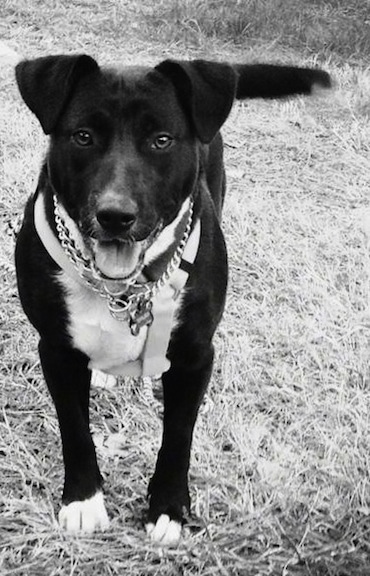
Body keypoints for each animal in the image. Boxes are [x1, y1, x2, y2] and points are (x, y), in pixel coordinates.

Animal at [15, 56, 330, 548]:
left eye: (161, 140)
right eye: (83, 136)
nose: (115, 215)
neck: (124, 290)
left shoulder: (195, 355)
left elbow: (179, 435)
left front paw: (168, 508)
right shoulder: (56, 349)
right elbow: (74, 428)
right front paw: (84, 501)